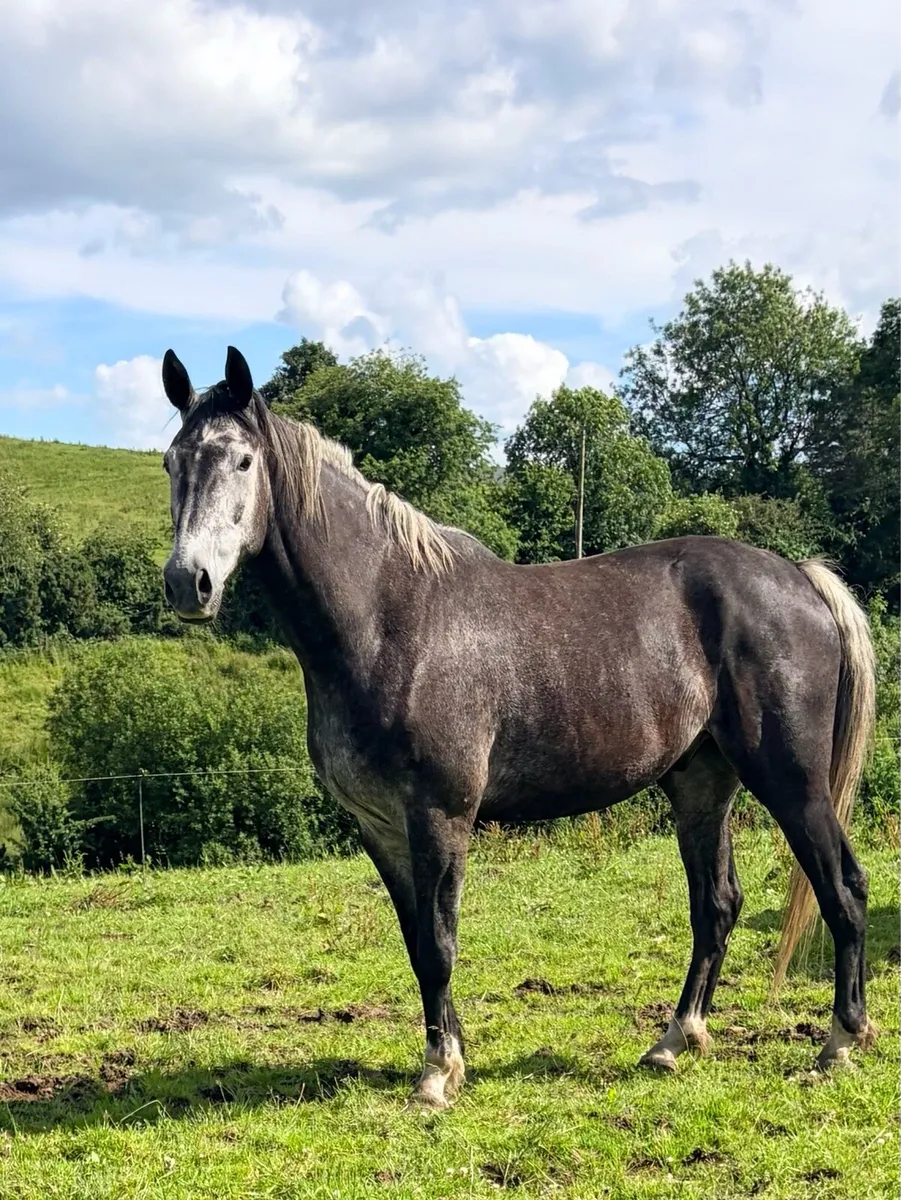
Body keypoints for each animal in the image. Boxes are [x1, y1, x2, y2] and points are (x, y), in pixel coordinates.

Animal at [160, 346, 876, 1109]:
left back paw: (838, 1043)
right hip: (701, 784)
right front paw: (448, 1057)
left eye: (242, 461)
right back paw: (675, 1040)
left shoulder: (440, 816)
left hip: (792, 783)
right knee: (716, 905)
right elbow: (417, 943)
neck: (390, 620)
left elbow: (440, 943)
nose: (187, 583)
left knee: (843, 889)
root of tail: (798, 577)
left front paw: (437, 1076)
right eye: (173, 463)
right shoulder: (380, 826)